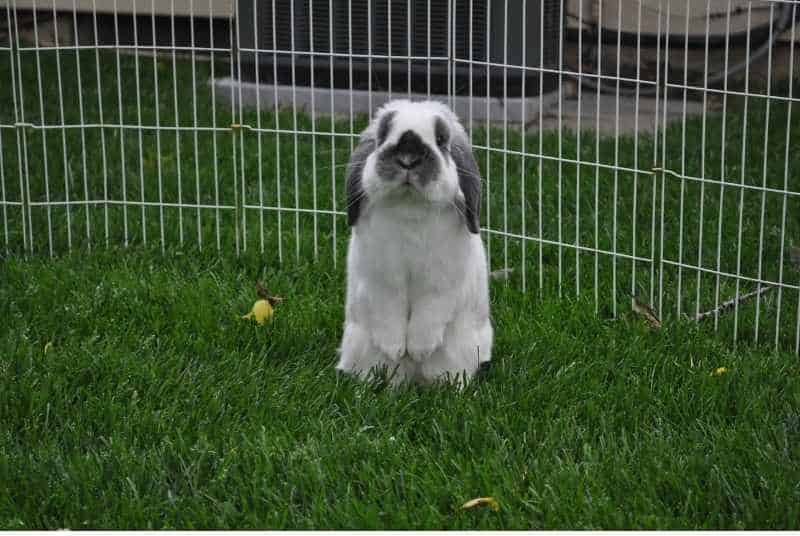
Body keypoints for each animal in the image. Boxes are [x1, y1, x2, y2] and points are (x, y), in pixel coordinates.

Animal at [336, 99, 493, 387]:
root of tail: (414, 378)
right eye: (382, 135)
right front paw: (395, 348)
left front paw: (420, 349)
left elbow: (429, 312)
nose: (408, 159)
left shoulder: (442, 284)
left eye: (441, 139)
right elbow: (388, 312)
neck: (410, 208)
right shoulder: (379, 281)